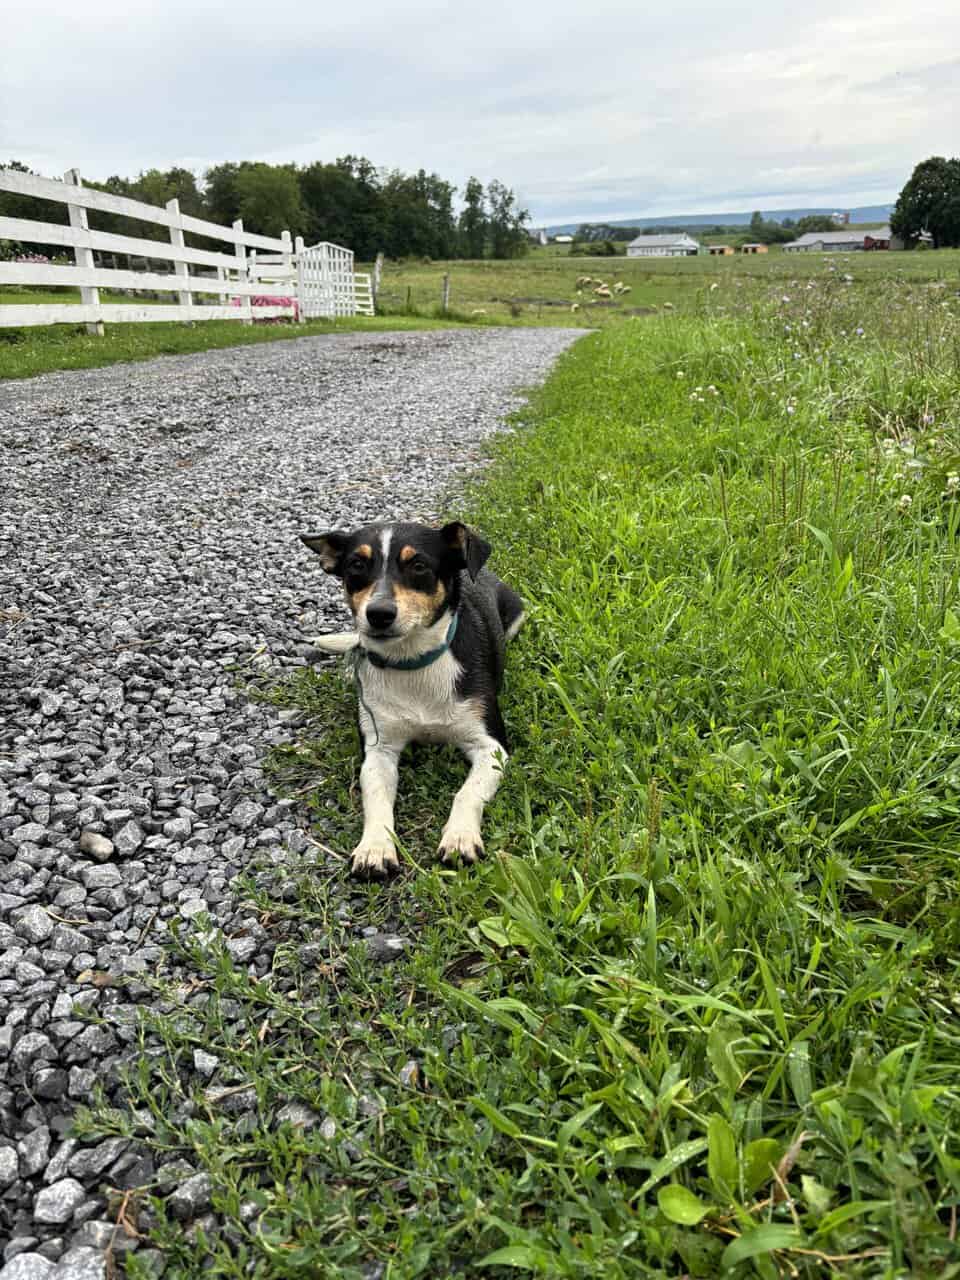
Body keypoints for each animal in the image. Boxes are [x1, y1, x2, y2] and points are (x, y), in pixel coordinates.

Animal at [300, 520, 524, 878]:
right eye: (357, 565)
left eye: (418, 565)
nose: (378, 613)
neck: (412, 662)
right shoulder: (379, 749)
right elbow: (376, 798)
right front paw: (374, 847)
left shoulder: (490, 747)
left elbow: (467, 793)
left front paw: (460, 836)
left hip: (517, 614)